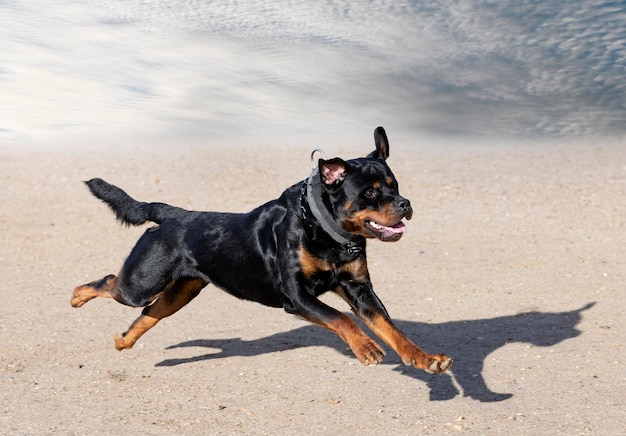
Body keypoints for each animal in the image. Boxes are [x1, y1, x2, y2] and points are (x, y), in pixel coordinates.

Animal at [70, 127, 450, 374]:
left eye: (394, 186)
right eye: (370, 192)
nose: (405, 204)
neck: (326, 233)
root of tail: (173, 214)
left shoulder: (359, 290)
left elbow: (391, 328)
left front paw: (425, 358)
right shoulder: (296, 295)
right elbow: (341, 318)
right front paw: (367, 347)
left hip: (180, 292)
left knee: (149, 313)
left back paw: (123, 341)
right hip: (142, 282)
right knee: (111, 283)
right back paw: (77, 296)